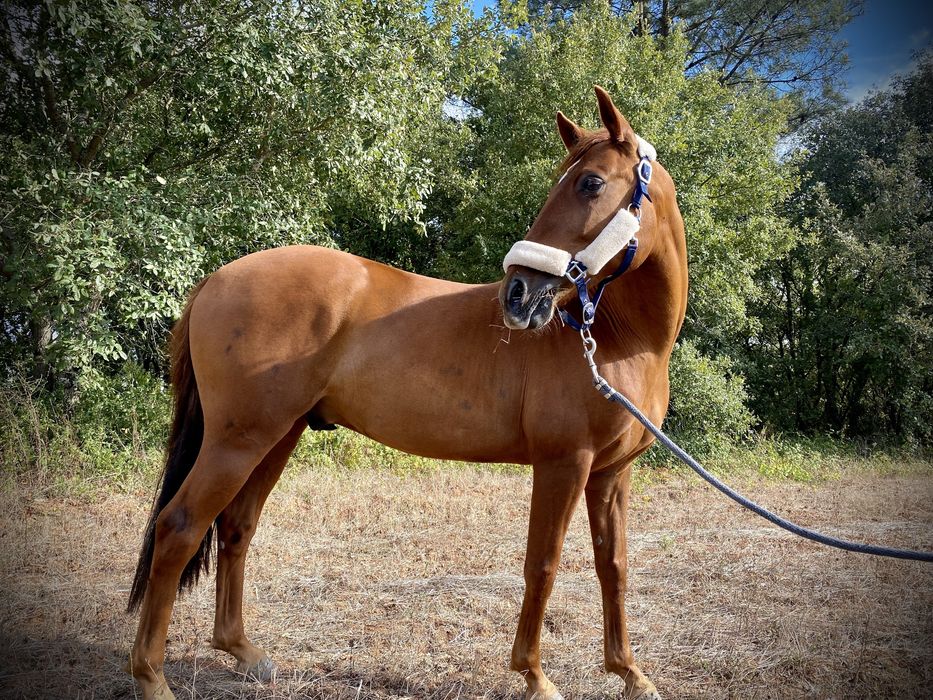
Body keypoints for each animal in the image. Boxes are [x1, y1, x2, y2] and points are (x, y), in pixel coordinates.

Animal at [126, 86, 687, 700]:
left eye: (589, 182)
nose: (518, 294)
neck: (618, 339)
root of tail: (216, 277)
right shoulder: (565, 463)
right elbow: (543, 563)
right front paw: (536, 677)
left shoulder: (611, 473)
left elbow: (615, 566)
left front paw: (630, 672)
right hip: (238, 441)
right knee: (179, 528)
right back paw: (151, 677)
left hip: (277, 435)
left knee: (235, 527)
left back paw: (244, 653)